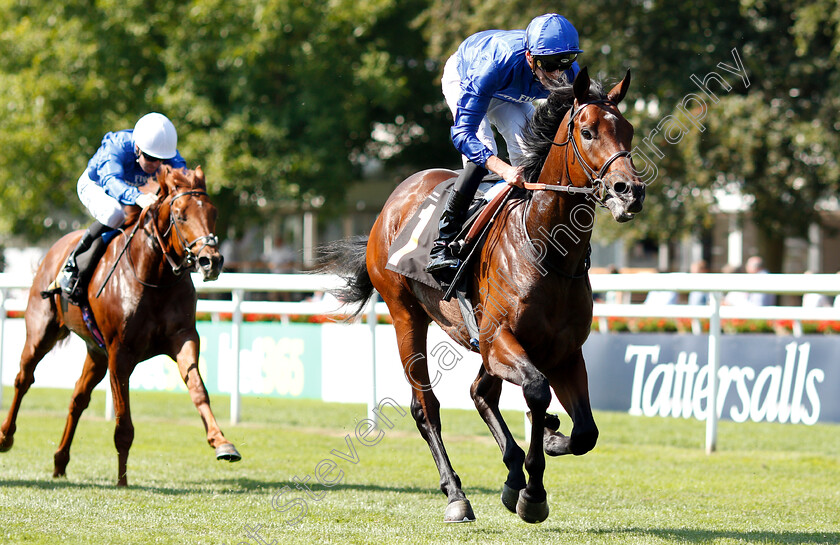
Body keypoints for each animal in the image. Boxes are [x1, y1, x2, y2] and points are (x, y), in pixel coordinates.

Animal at [0, 165, 240, 484]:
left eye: (213, 212)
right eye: (180, 215)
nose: (210, 261)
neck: (155, 277)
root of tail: (53, 250)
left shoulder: (183, 336)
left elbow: (198, 389)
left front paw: (222, 442)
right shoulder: (120, 352)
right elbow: (123, 422)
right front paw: (122, 480)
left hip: (95, 352)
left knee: (78, 398)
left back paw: (60, 462)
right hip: (41, 331)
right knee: (23, 379)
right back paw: (5, 437)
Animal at [320, 69, 644, 524]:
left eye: (628, 130)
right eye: (587, 131)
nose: (629, 190)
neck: (547, 249)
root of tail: (394, 199)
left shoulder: (564, 351)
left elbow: (586, 432)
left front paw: (548, 443)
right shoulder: (500, 339)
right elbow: (537, 392)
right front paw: (533, 492)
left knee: (480, 392)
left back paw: (511, 474)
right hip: (406, 315)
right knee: (427, 407)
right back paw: (457, 494)